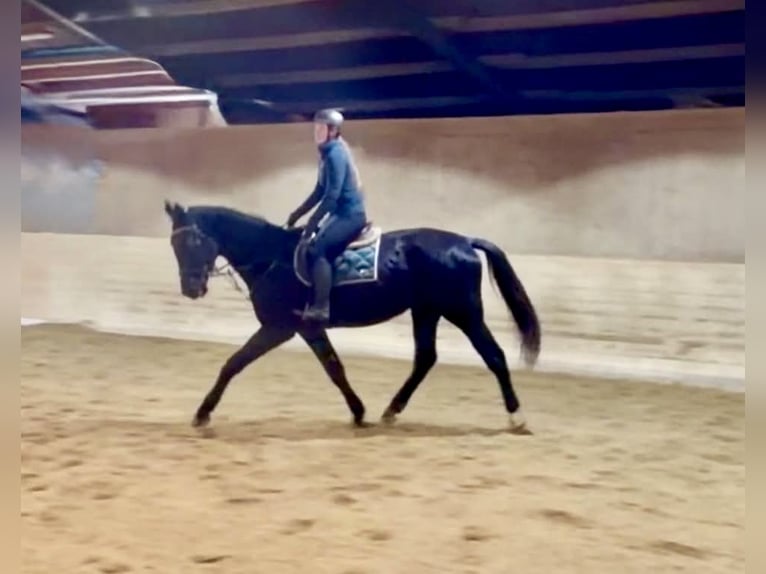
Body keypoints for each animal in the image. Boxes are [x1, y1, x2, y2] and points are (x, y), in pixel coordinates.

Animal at [163, 200, 541, 435]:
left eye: (192, 241)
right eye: (173, 246)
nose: (191, 289)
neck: (270, 256)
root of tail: (464, 241)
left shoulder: (279, 327)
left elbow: (233, 363)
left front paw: (203, 413)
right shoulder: (307, 329)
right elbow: (335, 369)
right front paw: (359, 412)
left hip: (463, 312)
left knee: (494, 356)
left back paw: (518, 418)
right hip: (426, 311)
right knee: (425, 359)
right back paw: (391, 411)